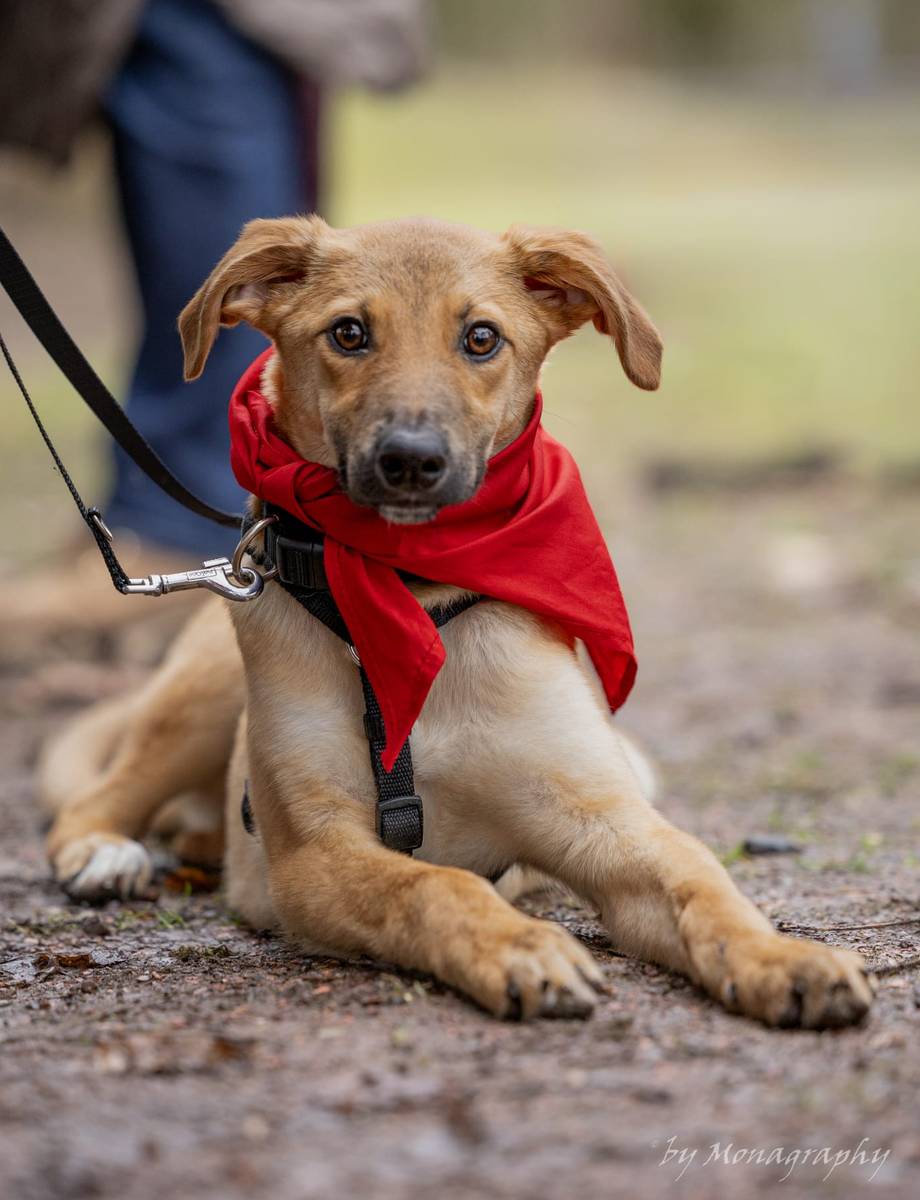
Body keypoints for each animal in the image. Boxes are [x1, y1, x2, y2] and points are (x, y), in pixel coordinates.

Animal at [39, 216, 874, 1026]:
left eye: (481, 338)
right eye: (349, 333)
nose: (411, 460)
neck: (419, 596)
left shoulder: (601, 821)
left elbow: (703, 883)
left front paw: (784, 959)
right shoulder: (314, 854)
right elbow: (432, 886)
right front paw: (518, 947)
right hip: (205, 697)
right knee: (94, 801)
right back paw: (106, 854)